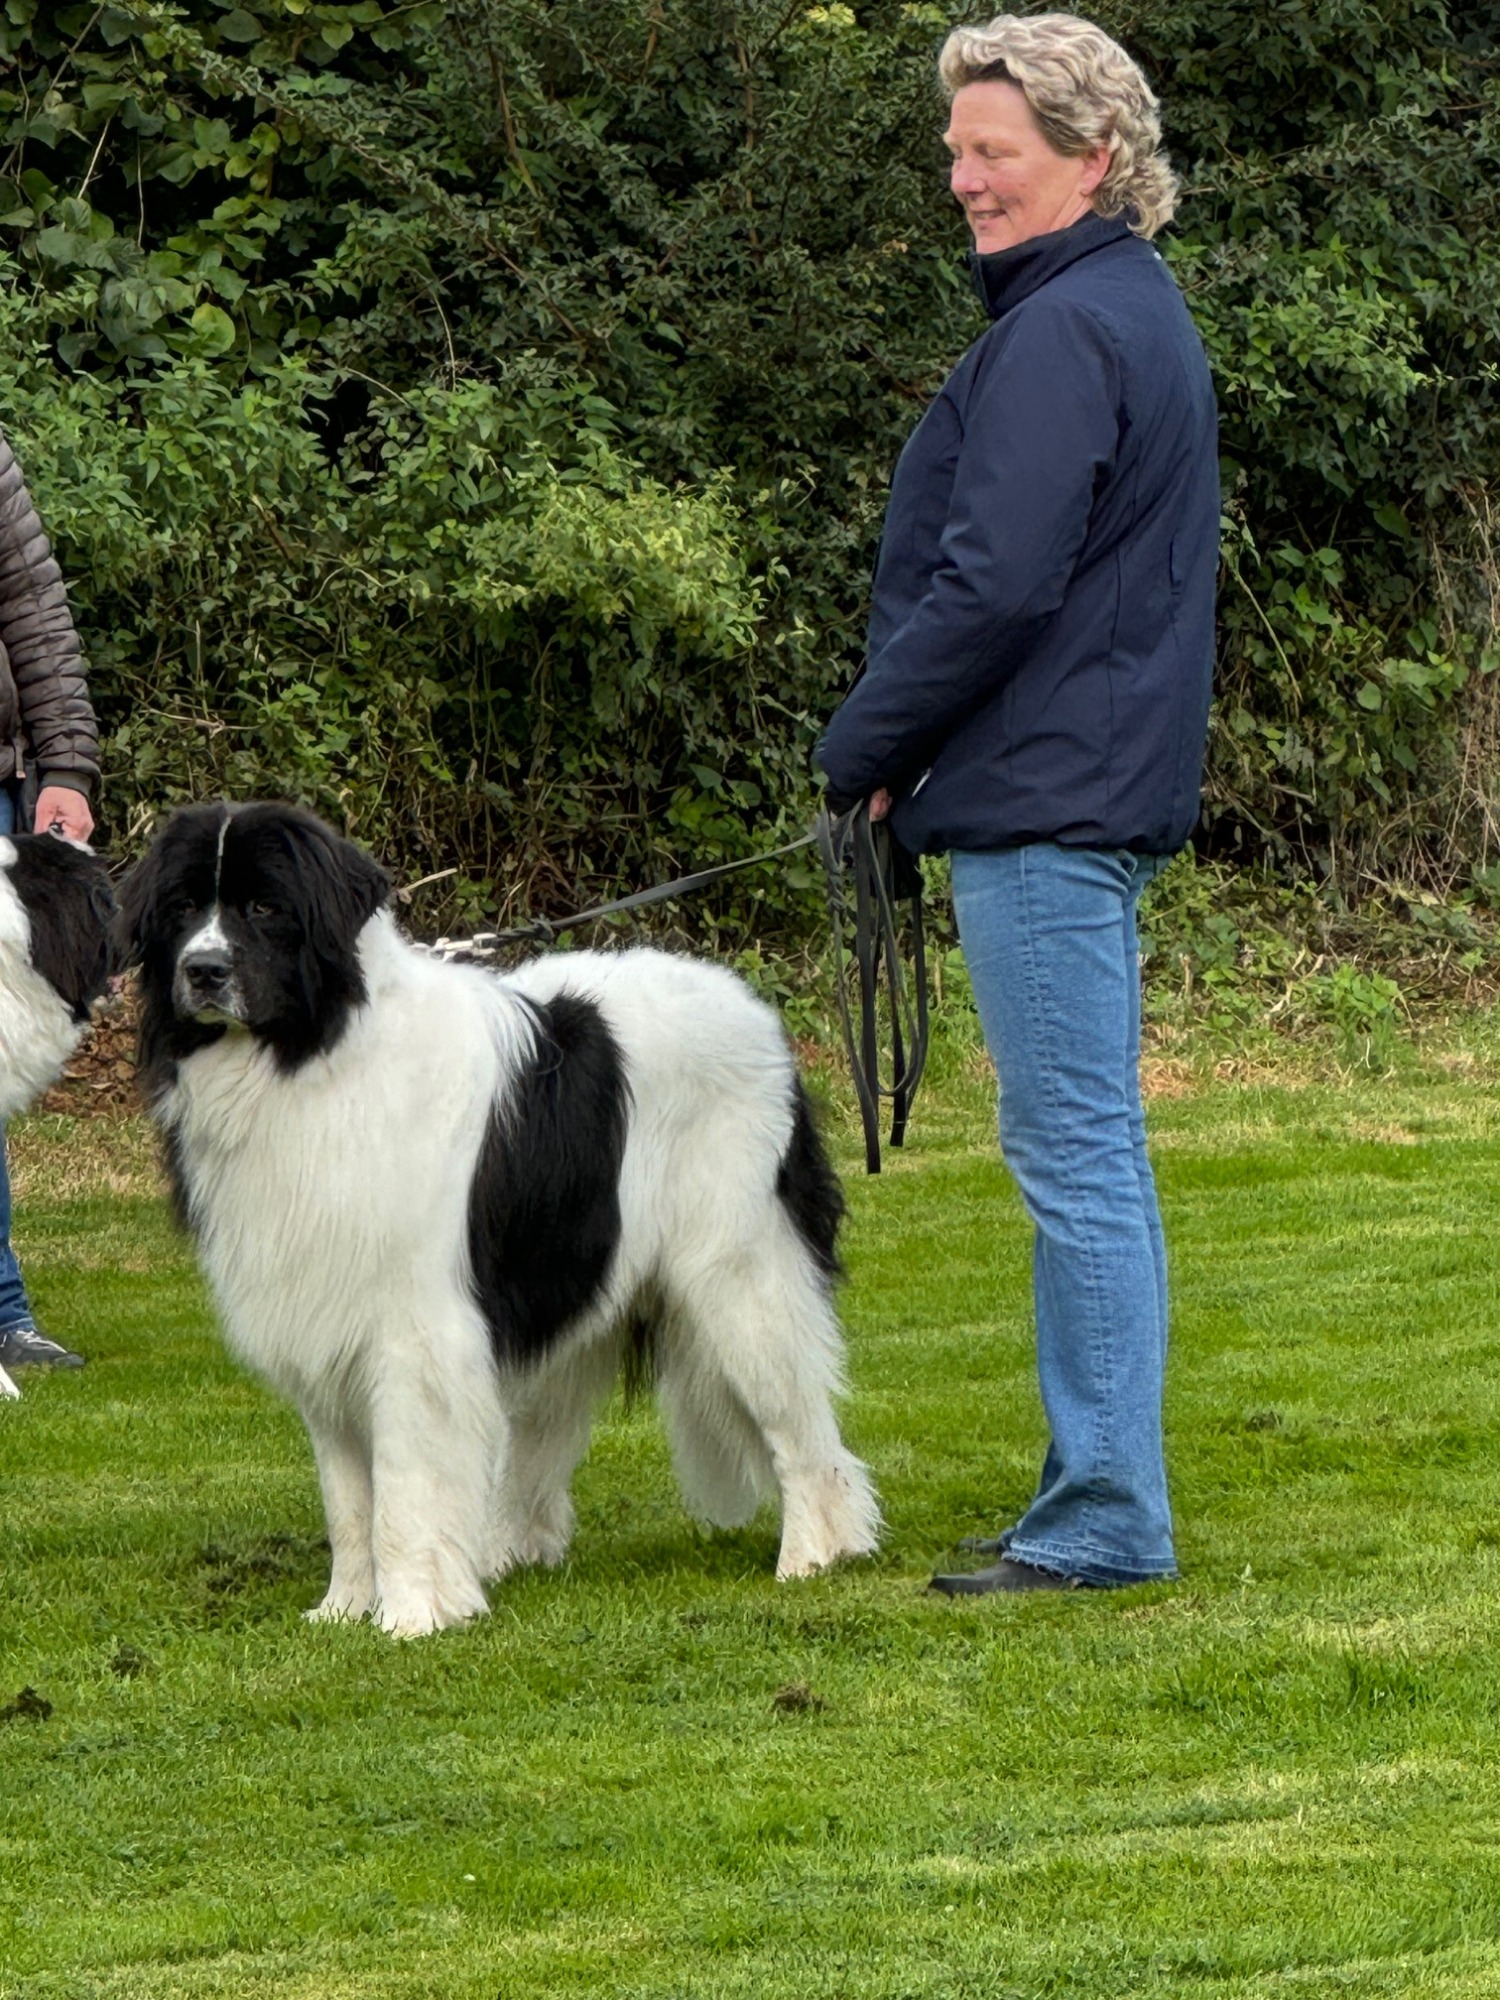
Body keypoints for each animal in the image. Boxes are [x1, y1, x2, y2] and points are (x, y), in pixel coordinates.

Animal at [119, 802, 879, 1634]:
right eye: (183, 909)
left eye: (263, 908)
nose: (203, 971)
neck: (318, 1056)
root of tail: (758, 1019)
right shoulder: (326, 1321)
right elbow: (348, 1497)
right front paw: (346, 1608)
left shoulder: (415, 1334)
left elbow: (403, 1491)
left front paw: (412, 1614)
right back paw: (506, 1551)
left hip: (739, 1275)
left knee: (798, 1427)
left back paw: (814, 1554)